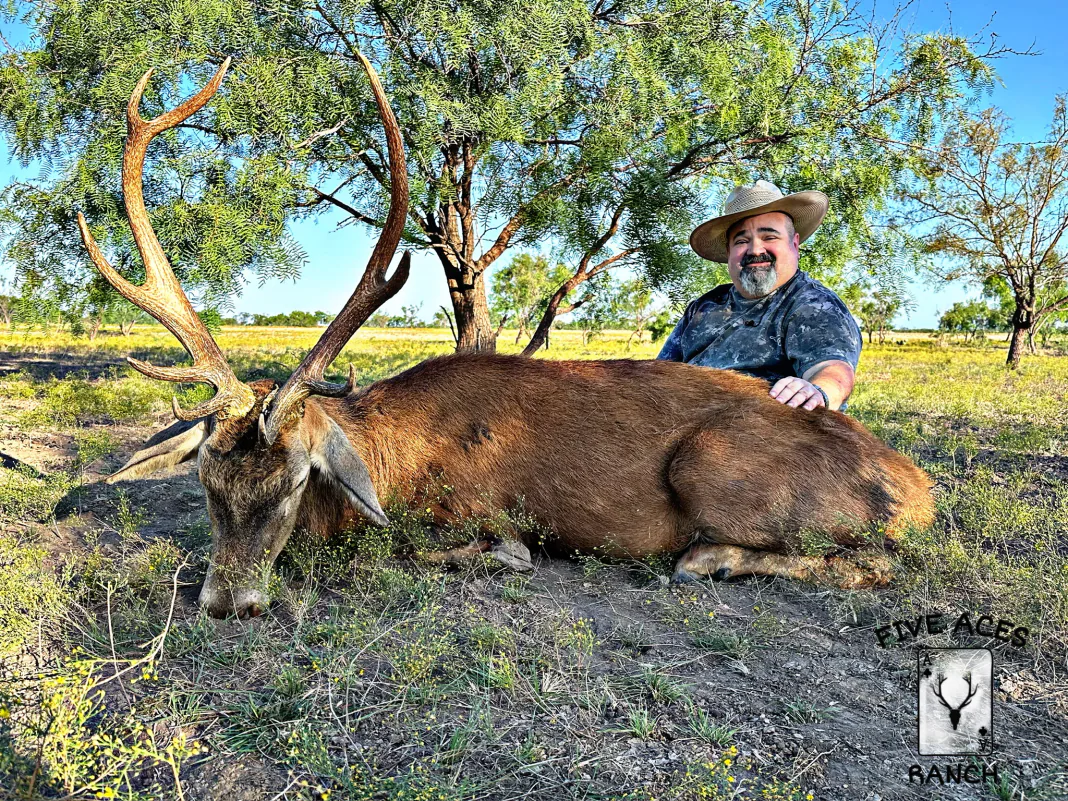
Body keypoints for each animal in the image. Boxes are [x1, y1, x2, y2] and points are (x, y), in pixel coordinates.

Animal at [78, 55, 937, 619]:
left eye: (294, 480)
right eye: (204, 482)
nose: (231, 601)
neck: (392, 461)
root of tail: (921, 487)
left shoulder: (484, 513)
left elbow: (452, 549)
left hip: (713, 462)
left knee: (880, 561)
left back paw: (710, 558)